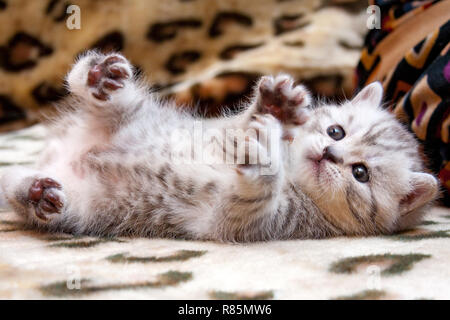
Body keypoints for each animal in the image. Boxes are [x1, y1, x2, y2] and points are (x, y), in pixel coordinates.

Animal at [0, 51, 438, 241]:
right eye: (336, 132)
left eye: (360, 173)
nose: (331, 154)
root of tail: (59, 154)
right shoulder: (217, 131)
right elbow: (240, 125)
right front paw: (275, 108)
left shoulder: (245, 221)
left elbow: (252, 195)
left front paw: (263, 162)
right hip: (135, 112)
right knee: (104, 94)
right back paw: (98, 76)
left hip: (82, 206)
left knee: (26, 200)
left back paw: (37, 192)